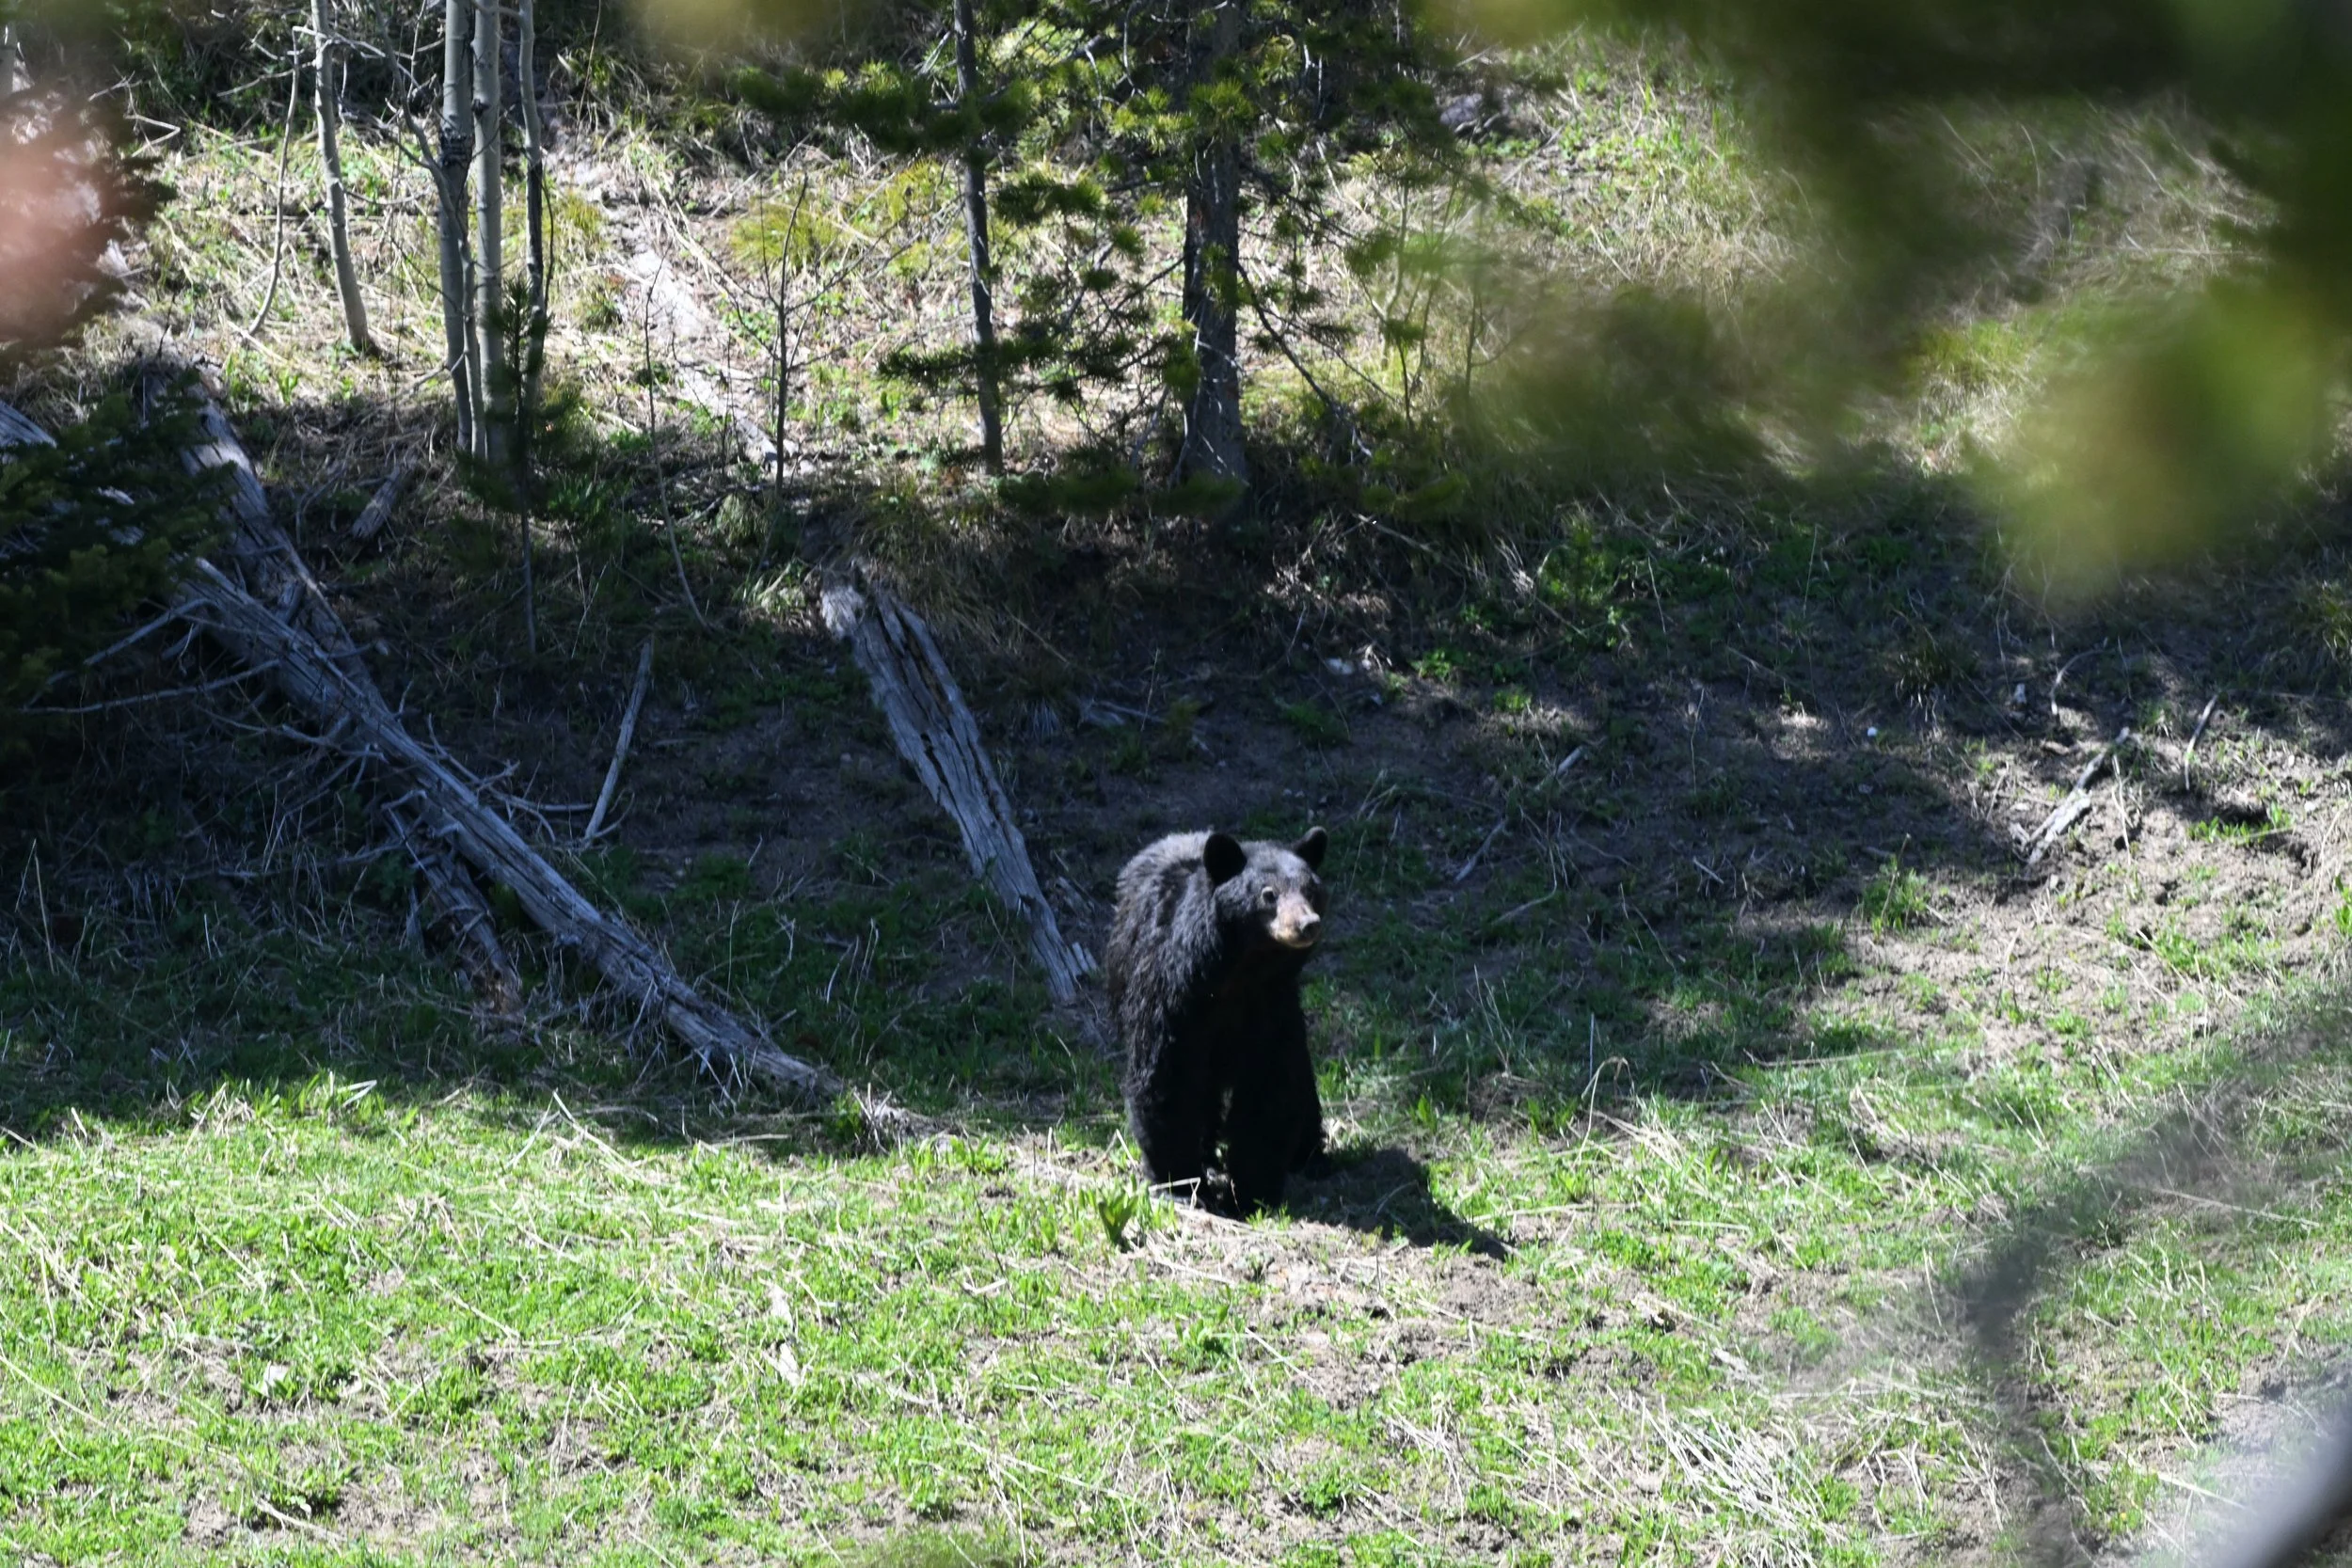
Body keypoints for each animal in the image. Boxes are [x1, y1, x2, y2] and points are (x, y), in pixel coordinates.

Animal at [1105, 825, 1329, 1213]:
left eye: (1311, 890)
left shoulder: (1271, 1005)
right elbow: (1167, 1079)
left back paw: (1310, 1155)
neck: (1236, 971)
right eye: (1268, 894)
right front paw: (1180, 1185)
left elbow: (1269, 1085)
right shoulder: (1172, 998)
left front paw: (1253, 1191)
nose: (1307, 924)